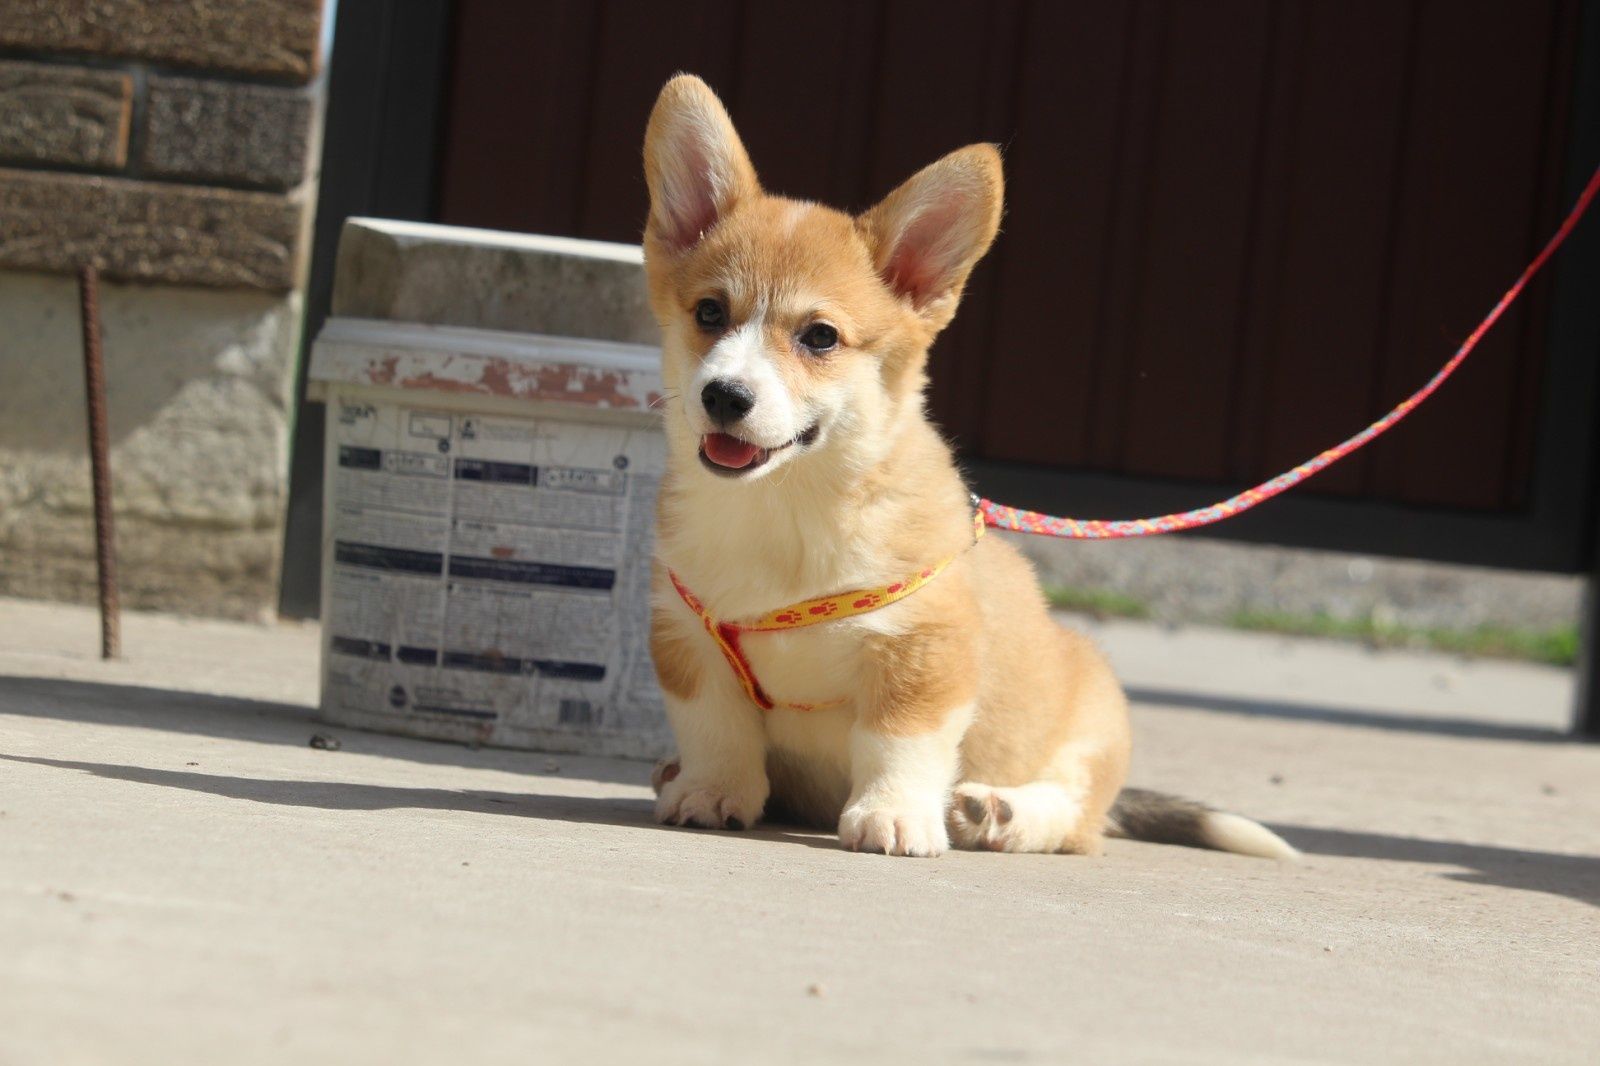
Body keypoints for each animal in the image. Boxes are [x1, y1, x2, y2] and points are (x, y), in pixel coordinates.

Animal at [636, 72, 1286, 857]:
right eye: (710, 312)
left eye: (820, 337)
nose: (724, 396)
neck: (787, 508)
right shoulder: (688, 641)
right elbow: (716, 732)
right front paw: (710, 792)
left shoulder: (924, 653)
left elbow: (898, 743)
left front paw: (892, 817)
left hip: (1097, 714)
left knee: (1076, 816)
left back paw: (1000, 813)